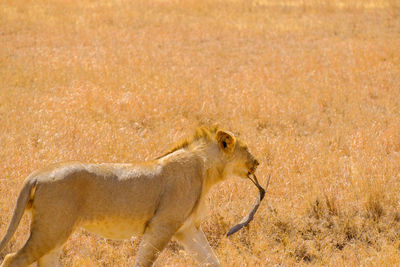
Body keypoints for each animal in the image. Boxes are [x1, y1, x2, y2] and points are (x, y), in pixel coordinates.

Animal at [0, 127, 260, 267]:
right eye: (246, 149)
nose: (257, 162)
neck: (207, 170)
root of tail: (37, 174)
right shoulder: (162, 225)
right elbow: (145, 259)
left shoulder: (187, 229)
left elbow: (210, 259)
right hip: (51, 229)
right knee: (14, 258)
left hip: (56, 232)